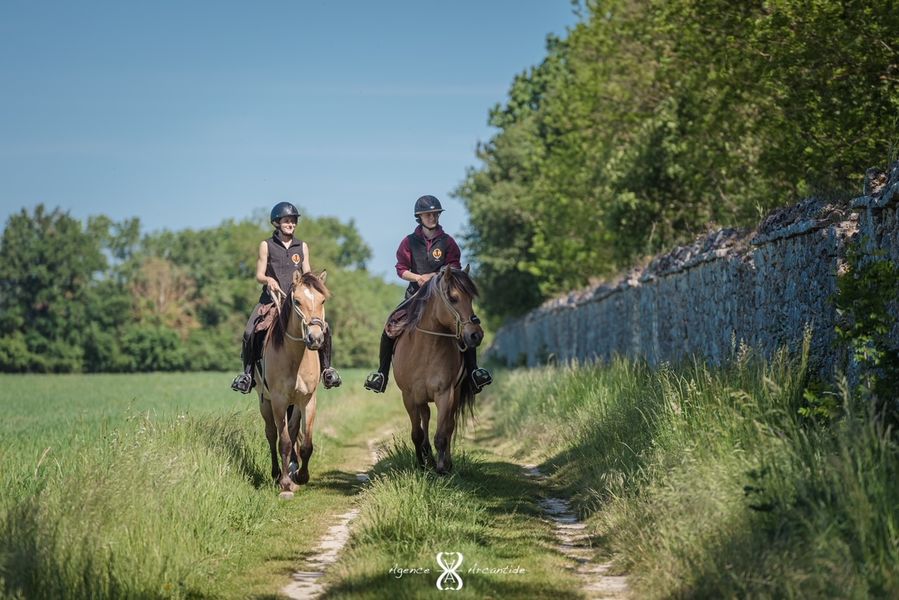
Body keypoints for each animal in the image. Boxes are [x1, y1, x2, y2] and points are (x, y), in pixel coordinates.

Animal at [256, 270, 330, 496]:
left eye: (323, 300)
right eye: (297, 301)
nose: (315, 338)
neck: (296, 358)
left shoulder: (308, 400)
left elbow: (306, 444)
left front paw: (301, 476)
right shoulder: (279, 401)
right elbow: (285, 442)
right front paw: (285, 482)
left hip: (295, 404)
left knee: (294, 429)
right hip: (264, 402)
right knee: (271, 434)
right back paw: (276, 473)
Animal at [390, 266, 482, 474]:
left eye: (471, 299)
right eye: (454, 298)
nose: (476, 335)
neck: (426, 350)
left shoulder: (444, 394)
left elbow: (442, 434)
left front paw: (442, 468)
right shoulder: (409, 396)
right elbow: (416, 433)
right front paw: (421, 464)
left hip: (454, 395)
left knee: (449, 426)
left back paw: (444, 462)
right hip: (420, 397)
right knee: (425, 417)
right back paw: (427, 456)